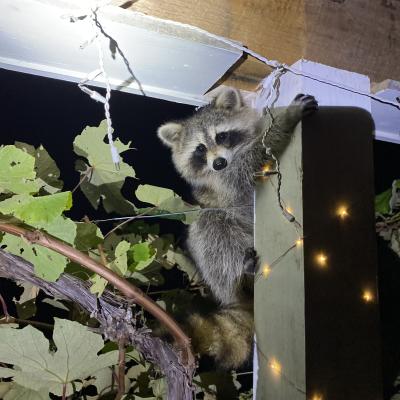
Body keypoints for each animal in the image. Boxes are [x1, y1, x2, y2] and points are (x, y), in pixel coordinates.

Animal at [158, 87, 318, 368]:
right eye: (200, 149)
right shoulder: (224, 182)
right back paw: (241, 276)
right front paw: (286, 119)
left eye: (221, 136)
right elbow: (247, 166)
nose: (218, 163)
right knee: (209, 228)